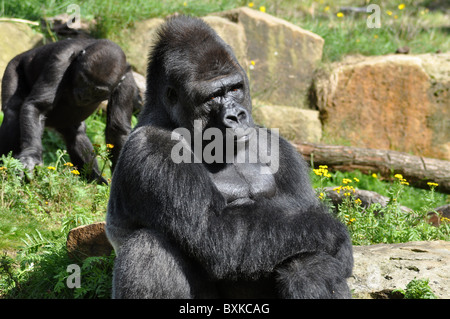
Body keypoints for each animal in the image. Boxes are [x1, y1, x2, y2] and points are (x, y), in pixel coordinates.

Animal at [0, 38, 140, 182]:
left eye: (97, 91)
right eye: (82, 79)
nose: (83, 95)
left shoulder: (128, 82)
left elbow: (117, 130)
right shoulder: (61, 60)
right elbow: (38, 106)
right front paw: (31, 155)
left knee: (75, 133)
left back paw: (93, 178)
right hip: (14, 64)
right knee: (13, 113)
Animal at [106, 16, 356, 298]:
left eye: (235, 88)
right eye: (214, 96)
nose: (236, 116)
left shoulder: (278, 147)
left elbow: (302, 211)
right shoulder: (153, 148)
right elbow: (217, 231)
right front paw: (334, 233)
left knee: (305, 257)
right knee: (149, 247)